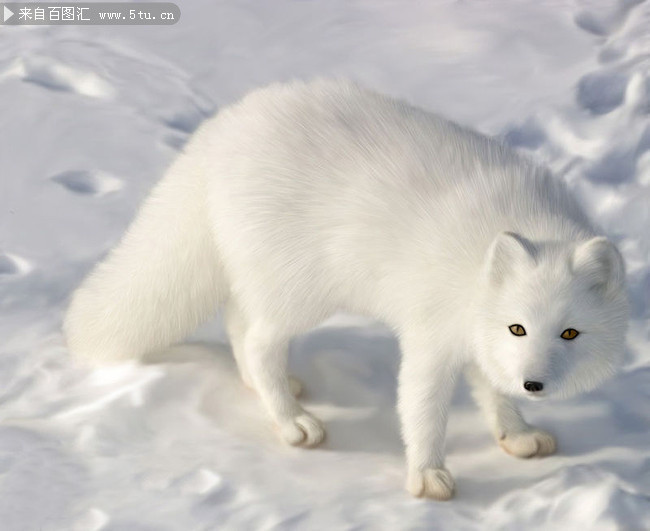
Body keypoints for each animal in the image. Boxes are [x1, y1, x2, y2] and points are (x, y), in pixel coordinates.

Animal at [63, 79, 624, 498]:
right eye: (518, 327)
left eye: (569, 333)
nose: (534, 384)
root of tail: (221, 127)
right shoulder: (431, 337)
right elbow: (423, 410)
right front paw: (427, 476)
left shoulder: (475, 338)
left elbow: (493, 395)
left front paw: (517, 435)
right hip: (301, 290)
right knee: (257, 340)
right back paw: (291, 422)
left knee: (239, 324)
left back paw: (267, 391)